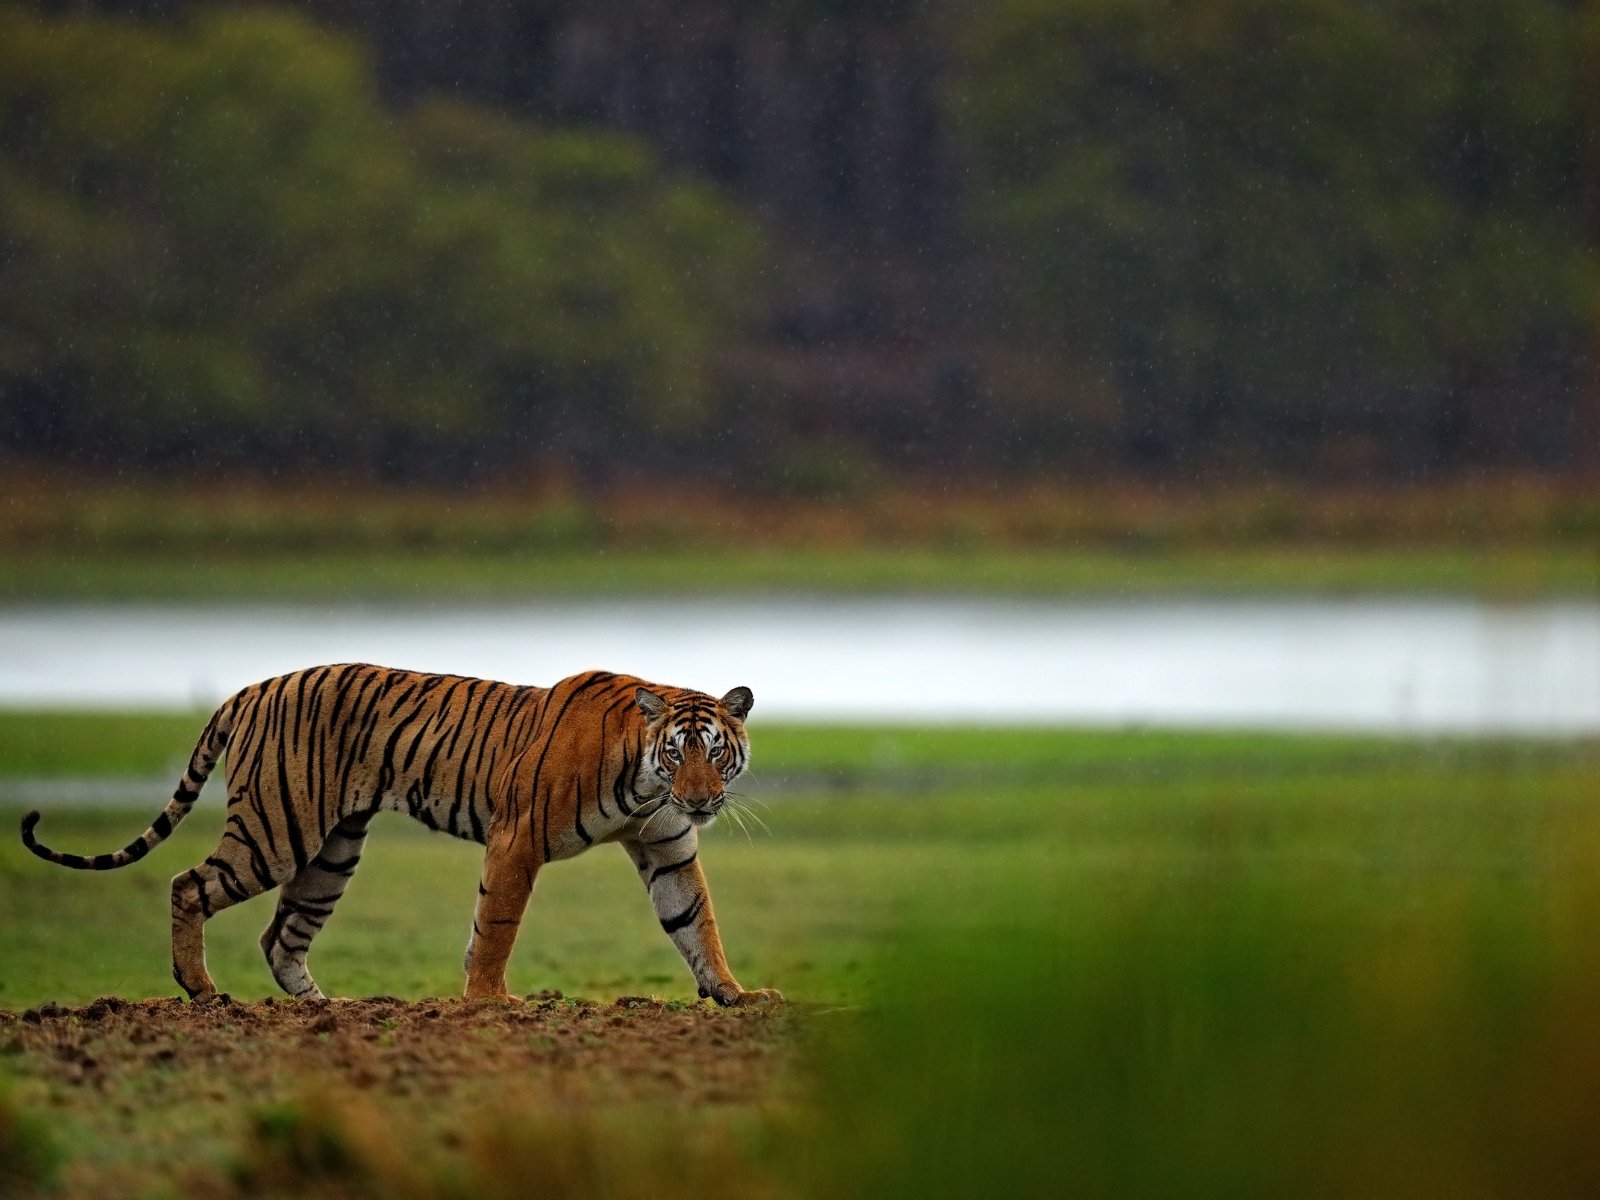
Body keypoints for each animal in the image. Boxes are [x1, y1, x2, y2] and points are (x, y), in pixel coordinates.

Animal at [19, 664, 781, 1007]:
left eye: (715, 753)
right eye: (676, 754)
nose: (700, 800)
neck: (646, 782)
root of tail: (252, 686)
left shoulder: (667, 848)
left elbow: (696, 923)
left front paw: (735, 993)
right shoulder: (517, 839)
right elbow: (497, 924)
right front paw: (490, 1000)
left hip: (330, 851)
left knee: (280, 935)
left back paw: (322, 1008)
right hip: (276, 830)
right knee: (189, 884)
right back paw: (203, 991)